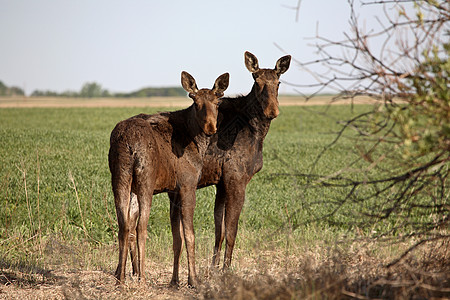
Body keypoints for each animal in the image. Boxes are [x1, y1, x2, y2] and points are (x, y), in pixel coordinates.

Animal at [108, 69, 229, 286]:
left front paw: (175, 280)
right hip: (145, 180)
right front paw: (193, 279)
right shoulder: (188, 184)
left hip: (121, 177)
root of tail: (128, 142)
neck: (198, 143)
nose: (210, 127)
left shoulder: (172, 191)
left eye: (217, 102)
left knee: (124, 225)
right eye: (196, 102)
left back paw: (121, 277)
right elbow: (189, 234)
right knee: (141, 227)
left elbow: (176, 238)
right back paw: (142, 277)